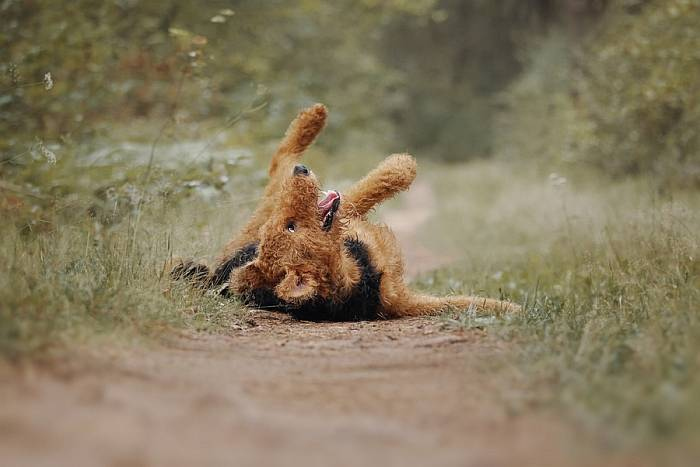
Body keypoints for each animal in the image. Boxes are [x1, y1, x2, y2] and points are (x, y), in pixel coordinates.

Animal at [172, 103, 516, 322]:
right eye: (290, 226)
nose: (302, 171)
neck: (355, 272)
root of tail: (221, 272)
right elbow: (372, 185)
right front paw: (402, 165)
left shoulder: (399, 299)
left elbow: (456, 302)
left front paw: (507, 308)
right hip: (269, 202)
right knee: (280, 159)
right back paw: (313, 119)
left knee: (283, 160)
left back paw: (314, 118)